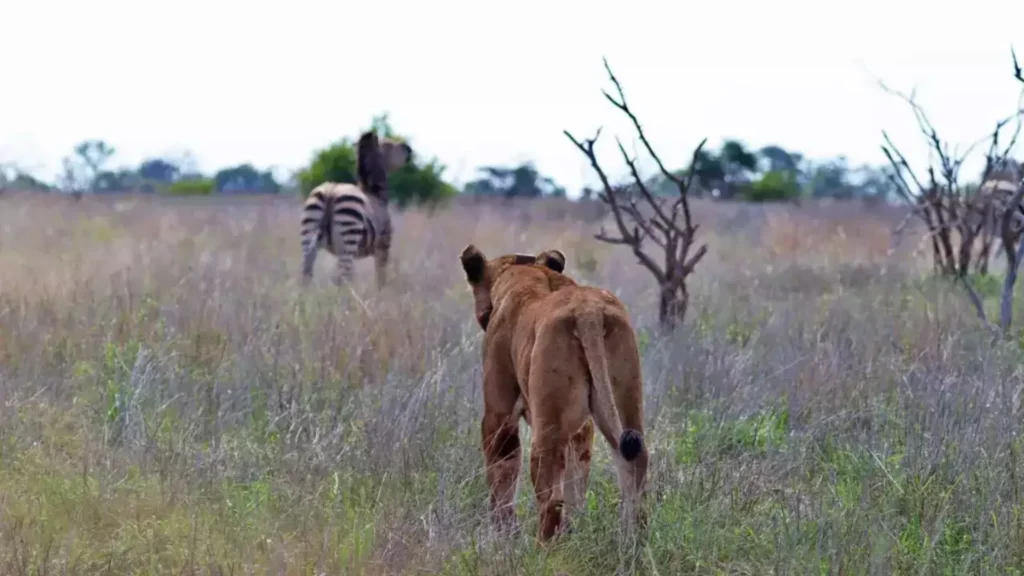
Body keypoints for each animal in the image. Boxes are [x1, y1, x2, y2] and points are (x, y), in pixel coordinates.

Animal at [299, 130, 411, 286]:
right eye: (390, 144)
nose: (409, 149)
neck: (374, 192)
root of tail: (330, 192)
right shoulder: (383, 245)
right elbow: (380, 278)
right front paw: (381, 293)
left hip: (309, 234)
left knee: (306, 274)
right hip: (348, 240)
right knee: (343, 277)